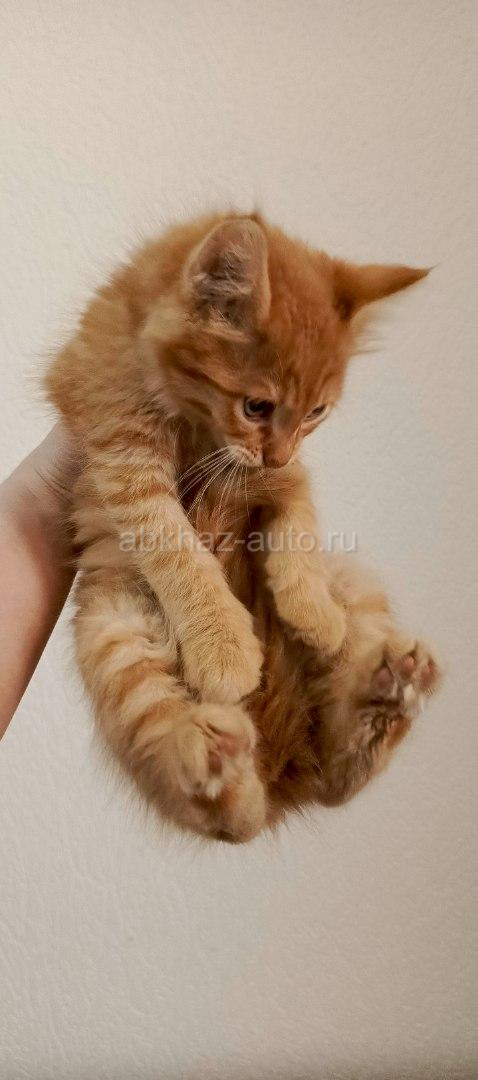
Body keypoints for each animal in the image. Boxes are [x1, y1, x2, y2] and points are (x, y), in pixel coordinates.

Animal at [46, 212, 441, 842]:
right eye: (257, 406)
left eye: (316, 412)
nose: (274, 453)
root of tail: (282, 771)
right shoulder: (118, 446)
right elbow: (171, 542)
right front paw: (223, 645)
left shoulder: (284, 472)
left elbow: (300, 514)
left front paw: (311, 608)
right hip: (115, 635)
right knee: (229, 814)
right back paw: (216, 754)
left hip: (352, 580)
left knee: (334, 781)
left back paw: (392, 690)